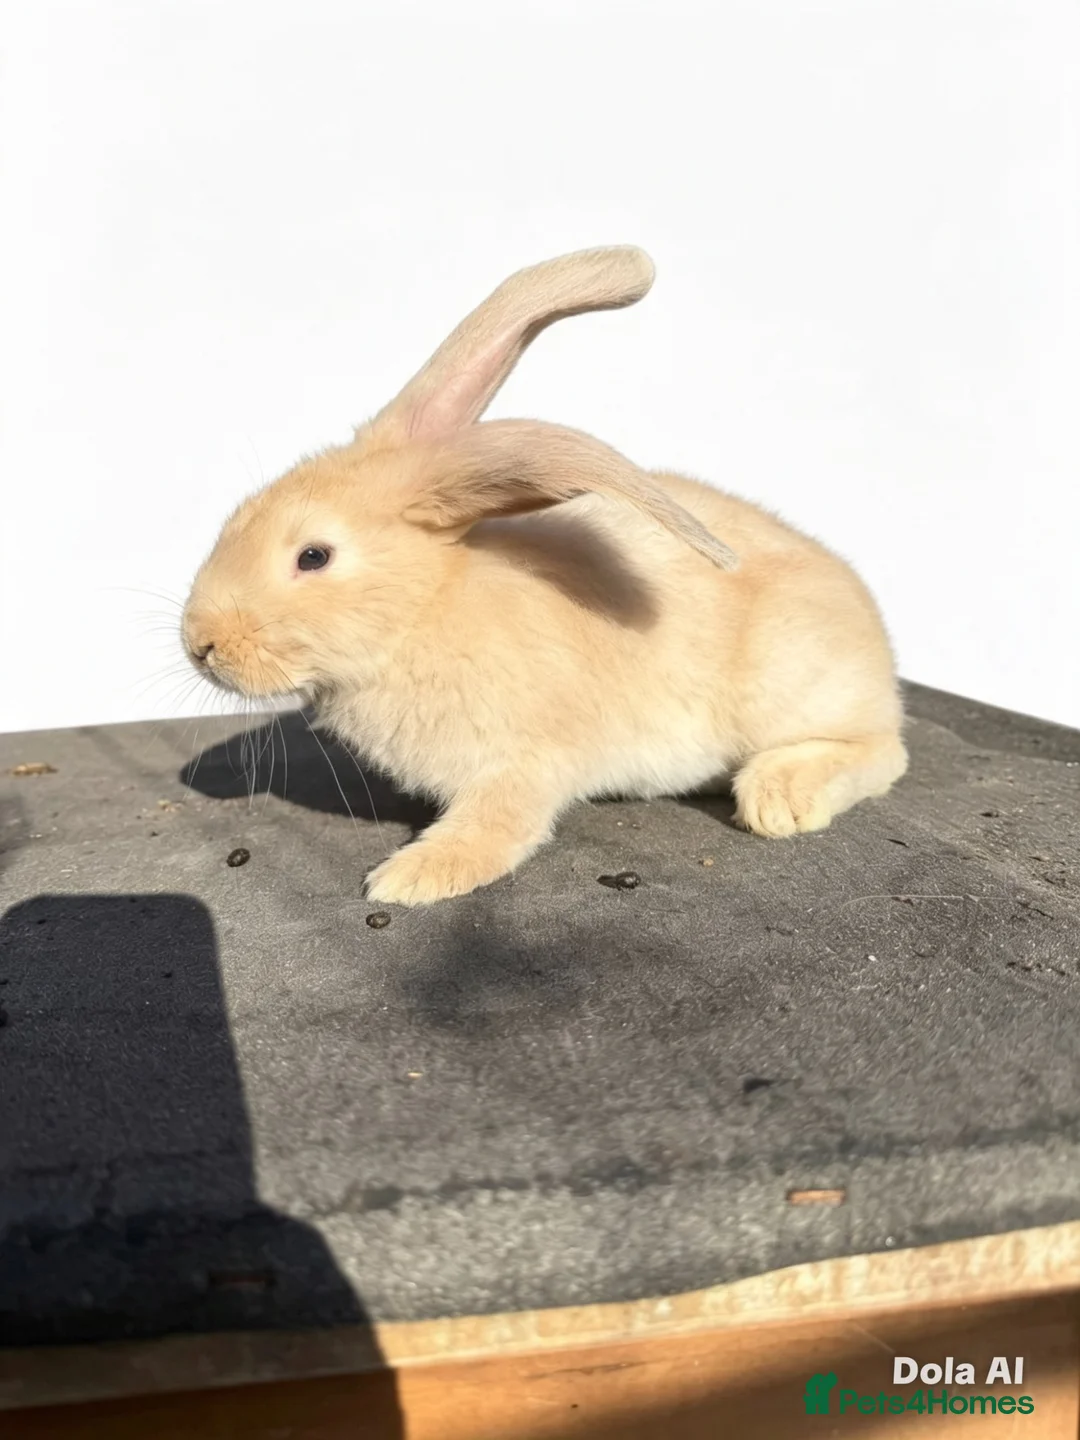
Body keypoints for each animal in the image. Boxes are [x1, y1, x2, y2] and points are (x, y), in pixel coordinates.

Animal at [182, 246, 908, 906]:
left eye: (314, 556)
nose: (199, 643)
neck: (427, 609)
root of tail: (872, 631)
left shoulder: (523, 762)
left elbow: (499, 824)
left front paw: (413, 877)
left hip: (791, 690)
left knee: (883, 750)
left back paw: (778, 797)